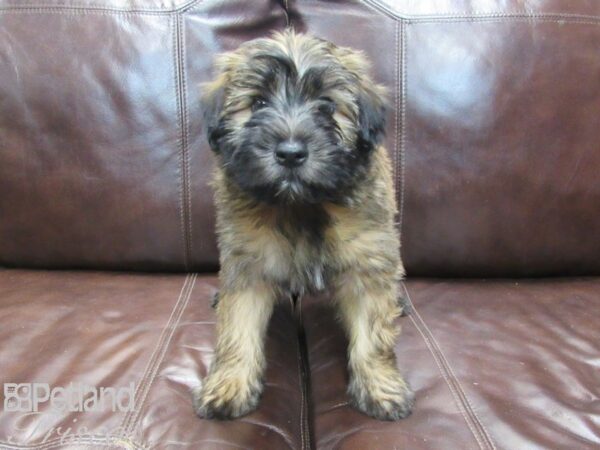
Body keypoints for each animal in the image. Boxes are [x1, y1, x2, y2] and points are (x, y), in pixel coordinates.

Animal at [192, 29, 412, 420]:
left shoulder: (368, 263)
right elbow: (237, 329)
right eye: (259, 103)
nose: (291, 153)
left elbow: (373, 335)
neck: (301, 205)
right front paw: (230, 384)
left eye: (326, 106)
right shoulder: (248, 264)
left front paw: (380, 386)